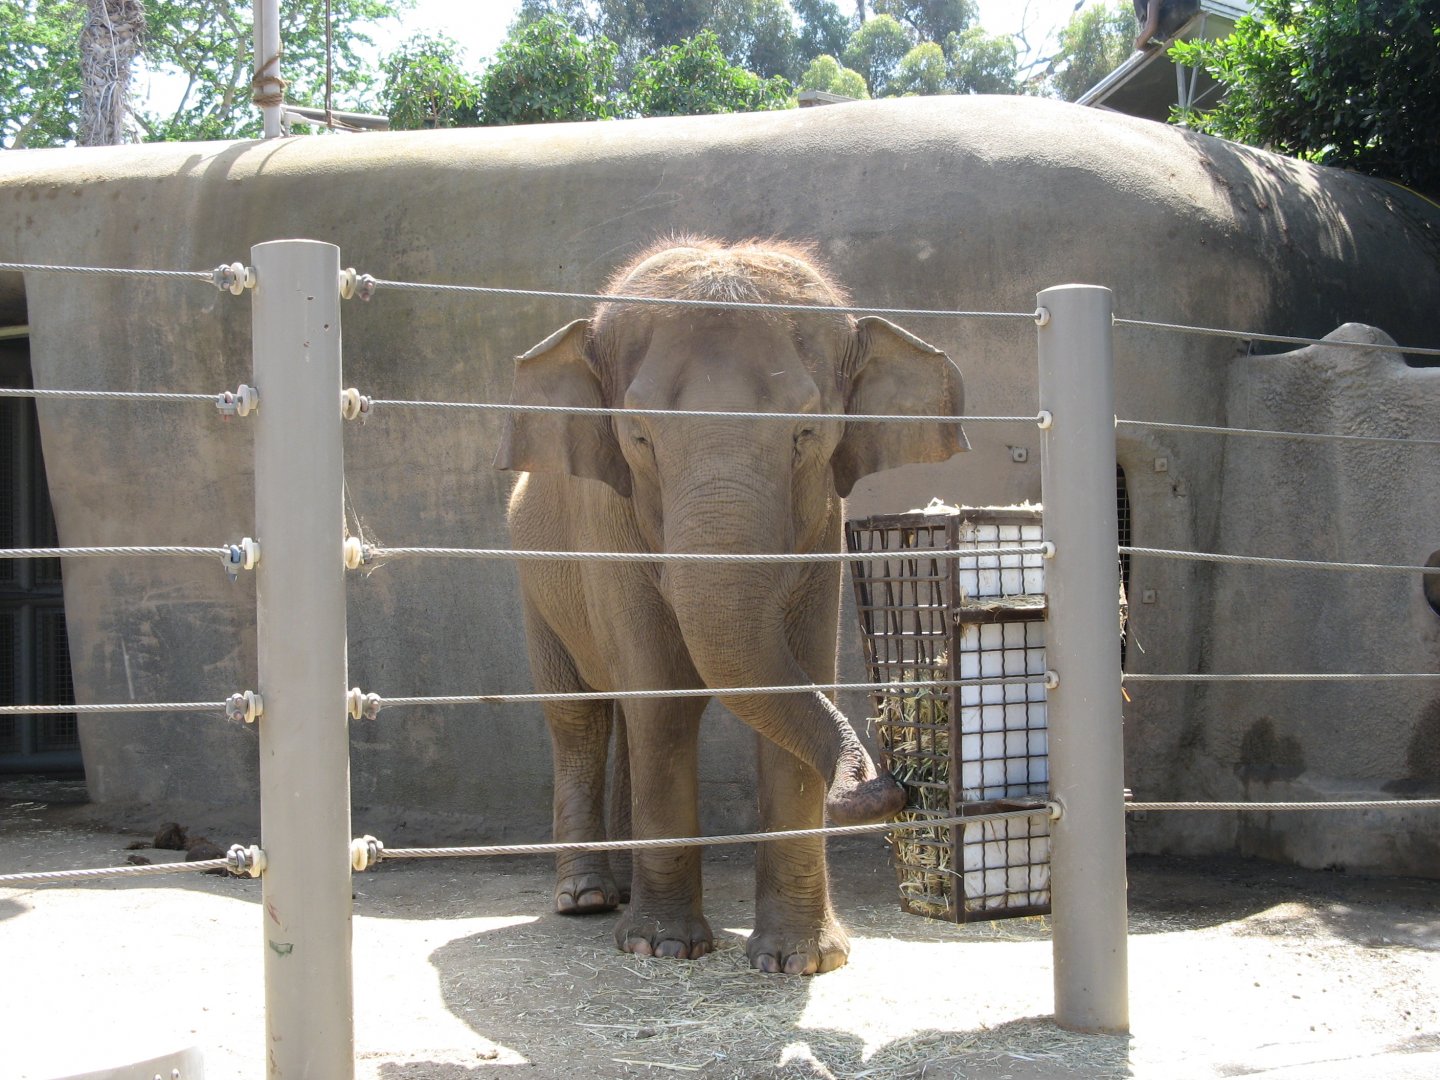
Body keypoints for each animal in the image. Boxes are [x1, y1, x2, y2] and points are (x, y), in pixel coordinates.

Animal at [494, 238, 969, 974]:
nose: (886, 788)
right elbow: (663, 705)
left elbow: (793, 680)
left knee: (625, 716)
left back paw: (621, 890)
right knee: (582, 718)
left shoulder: (822, 529)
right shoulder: (608, 534)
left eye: (807, 433)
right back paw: (587, 899)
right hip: (534, 579)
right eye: (638, 437)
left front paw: (800, 961)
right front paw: (662, 947)